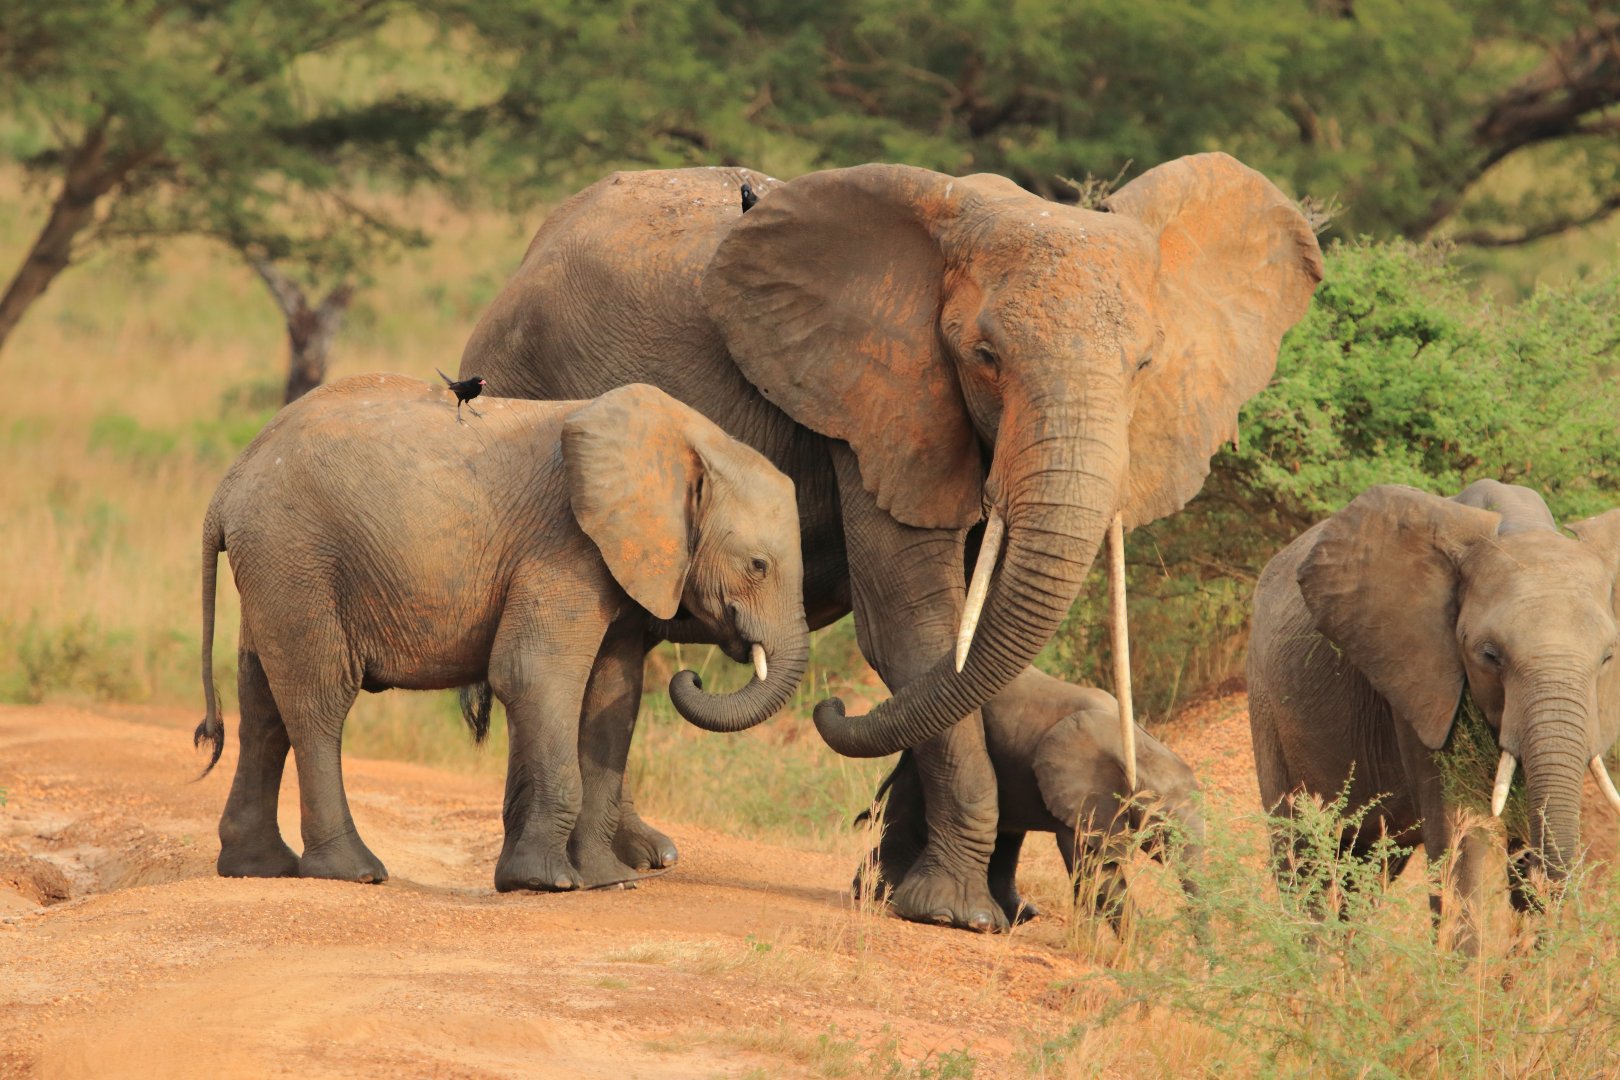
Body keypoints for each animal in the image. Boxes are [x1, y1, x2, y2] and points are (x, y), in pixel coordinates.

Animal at [194, 376, 809, 892]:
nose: (693, 675)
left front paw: (607, 882)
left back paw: (257, 868)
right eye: (758, 565)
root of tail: (226, 487)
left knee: (263, 701)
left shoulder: (619, 562)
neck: (685, 443)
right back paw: (354, 872)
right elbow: (535, 676)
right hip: (298, 557)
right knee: (319, 697)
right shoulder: (565, 549)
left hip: (276, 566)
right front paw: (548, 883)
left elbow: (613, 693)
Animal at [857, 667, 1204, 933]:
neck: (1141, 747)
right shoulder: (1081, 795)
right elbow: (1096, 869)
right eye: (1162, 826)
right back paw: (877, 895)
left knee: (1006, 833)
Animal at [1247, 479, 1620, 950]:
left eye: (1607, 657)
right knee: (1300, 854)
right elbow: (1458, 836)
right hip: (1266, 703)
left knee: (1363, 867)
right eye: (1489, 655)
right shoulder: (1421, 678)